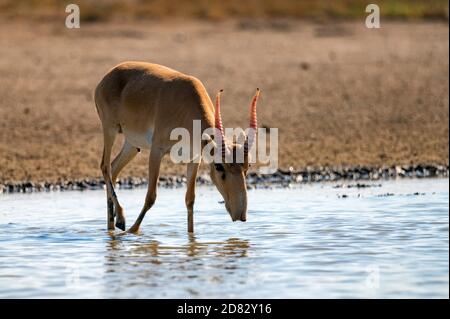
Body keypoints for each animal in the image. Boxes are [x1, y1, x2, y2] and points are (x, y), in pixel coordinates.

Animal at [95, 61, 260, 234]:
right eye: (219, 166)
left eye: (248, 166)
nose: (240, 214)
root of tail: (109, 75)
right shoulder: (157, 151)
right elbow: (151, 197)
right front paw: (132, 230)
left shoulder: (194, 158)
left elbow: (190, 199)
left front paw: (191, 235)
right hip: (110, 129)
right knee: (105, 166)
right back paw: (121, 220)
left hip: (132, 145)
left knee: (114, 168)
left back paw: (111, 226)